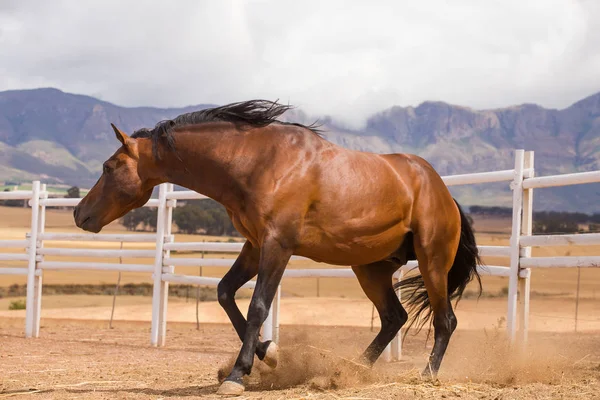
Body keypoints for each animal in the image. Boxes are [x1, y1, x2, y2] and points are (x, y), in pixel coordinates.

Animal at [74, 101, 482, 396]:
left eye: (109, 167)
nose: (79, 213)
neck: (258, 162)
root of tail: (444, 193)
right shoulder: (254, 246)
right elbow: (225, 293)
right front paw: (269, 353)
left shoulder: (277, 246)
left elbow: (258, 305)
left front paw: (237, 375)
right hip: (370, 268)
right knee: (394, 317)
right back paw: (348, 371)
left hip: (431, 262)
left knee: (445, 320)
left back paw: (425, 376)